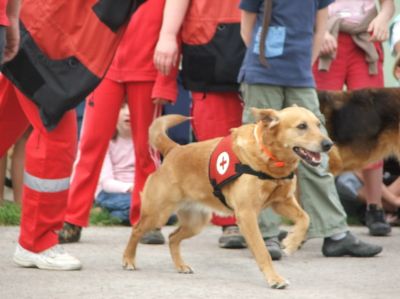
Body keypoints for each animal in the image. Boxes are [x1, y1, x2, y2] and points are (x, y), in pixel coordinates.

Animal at [122, 106, 334, 290]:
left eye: (318, 124)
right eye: (301, 126)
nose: (328, 144)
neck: (269, 158)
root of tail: (174, 149)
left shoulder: (282, 203)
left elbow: (305, 218)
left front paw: (291, 242)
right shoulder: (247, 214)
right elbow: (262, 251)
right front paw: (274, 278)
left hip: (196, 222)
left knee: (173, 238)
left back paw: (180, 265)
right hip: (158, 214)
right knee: (137, 230)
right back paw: (128, 260)